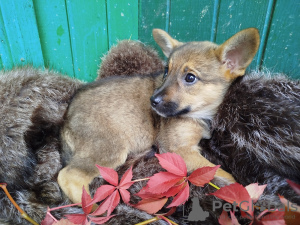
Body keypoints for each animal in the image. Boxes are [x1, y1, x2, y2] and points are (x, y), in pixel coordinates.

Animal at [57, 28, 258, 204]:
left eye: (190, 78)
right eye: (166, 71)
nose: (152, 101)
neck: (199, 114)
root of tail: (66, 119)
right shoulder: (180, 149)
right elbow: (223, 173)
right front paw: (245, 191)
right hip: (111, 149)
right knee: (68, 176)